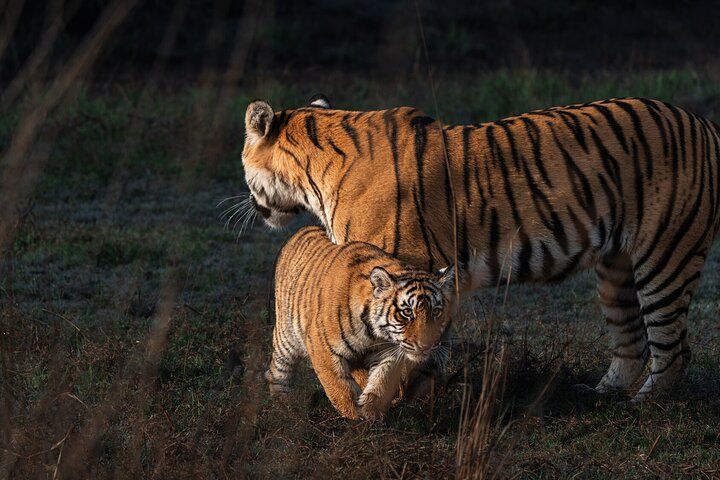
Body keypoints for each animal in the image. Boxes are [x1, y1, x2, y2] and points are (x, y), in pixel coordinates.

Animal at [266, 225, 456, 420]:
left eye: (436, 312)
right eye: (407, 312)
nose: (426, 346)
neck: (373, 333)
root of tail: (303, 229)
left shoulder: (388, 351)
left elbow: (382, 381)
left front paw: (372, 412)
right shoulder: (322, 347)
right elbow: (341, 389)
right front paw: (355, 418)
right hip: (286, 338)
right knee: (276, 371)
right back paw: (285, 408)